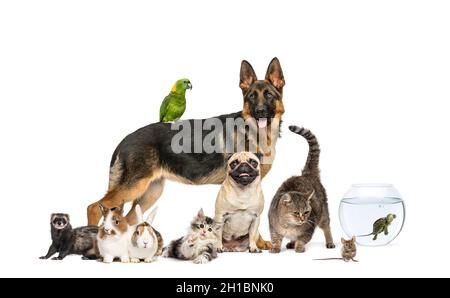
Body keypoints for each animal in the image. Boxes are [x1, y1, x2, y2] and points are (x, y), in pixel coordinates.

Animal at [87, 57, 284, 248]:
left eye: (269, 95)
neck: (254, 131)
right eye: (252, 97)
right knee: (94, 207)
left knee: (127, 220)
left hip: (150, 193)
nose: (260, 112)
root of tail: (125, 139)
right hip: (134, 187)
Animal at [268, 125, 334, 254]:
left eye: (307, 212)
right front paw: (276, 247)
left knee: (327, 226)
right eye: (296, 213)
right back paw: (291, 243)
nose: (303, 219)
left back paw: (330, 242)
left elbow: (302, 239)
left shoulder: (309, 228)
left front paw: (298, 246)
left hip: (323, 213)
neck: (289, 225)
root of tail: (306, 174)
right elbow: (275, 239)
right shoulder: (273, 228)